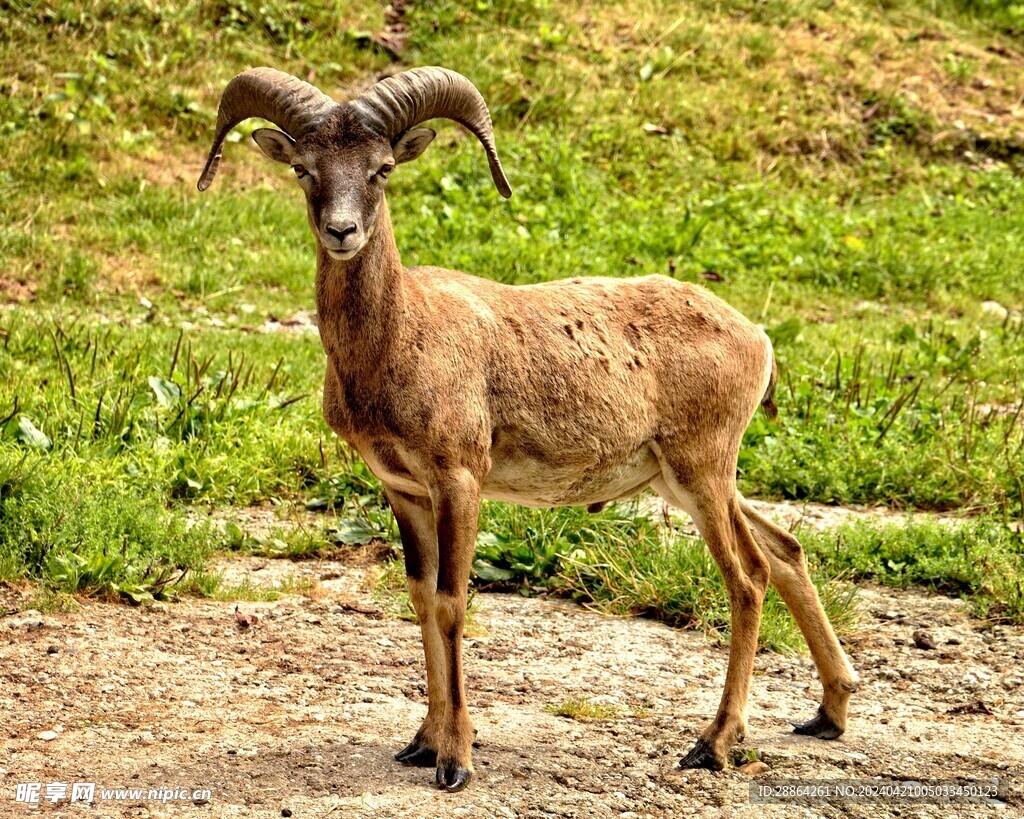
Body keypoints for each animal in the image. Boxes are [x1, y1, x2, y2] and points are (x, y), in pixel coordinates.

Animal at [197, 65, 856, 794]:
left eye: (382, 168)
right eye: (305, 169)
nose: (342, 231)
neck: (400, 337)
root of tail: (758, 338)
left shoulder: (459, 480)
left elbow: (452, 604)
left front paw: (456, 760)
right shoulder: (405, 491)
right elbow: (420, 599)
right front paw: (421, 743)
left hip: (703, 471)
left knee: (748, 577)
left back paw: (712, 744)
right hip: (685, 480)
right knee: (787, 549)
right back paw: (829, 711)